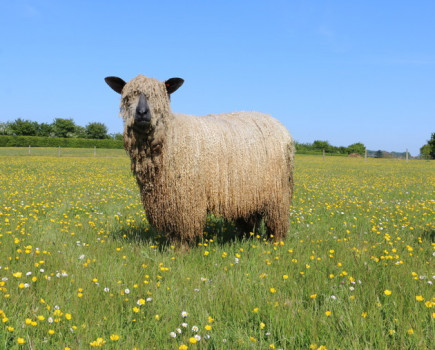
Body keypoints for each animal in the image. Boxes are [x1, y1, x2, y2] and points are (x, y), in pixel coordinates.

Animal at [106, 74, 296, 243]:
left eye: (159, 96)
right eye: (127, 97)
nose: (142, 113)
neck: (171, 137)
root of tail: (277, 123)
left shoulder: (185, 198)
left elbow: (182, 228)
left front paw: (180, 250)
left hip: (277, 192)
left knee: (276, 219)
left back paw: (275, 242)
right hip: (249, 192)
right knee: (249, 218)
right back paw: (246, 238)